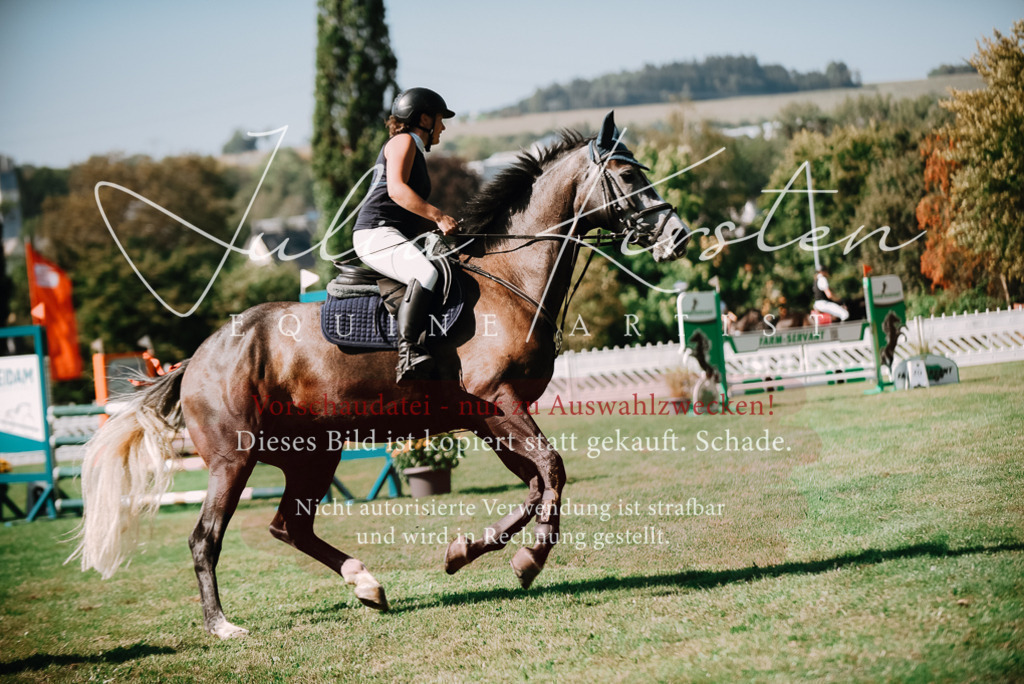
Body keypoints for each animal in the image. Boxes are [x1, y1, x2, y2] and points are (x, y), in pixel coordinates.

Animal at [70, 112, 691, 639]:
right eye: (628, 175)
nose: (677, 235)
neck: (511, 279)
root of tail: (198, 359)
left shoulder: (491, 415)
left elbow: (538, 483)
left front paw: (467, 552)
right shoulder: (500, 400)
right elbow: (552, 471)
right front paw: (529, 560)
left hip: (312, 453)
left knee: (289, 526)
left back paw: (366, 585)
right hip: (233, 458)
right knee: (207, 537)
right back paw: (224, 626)